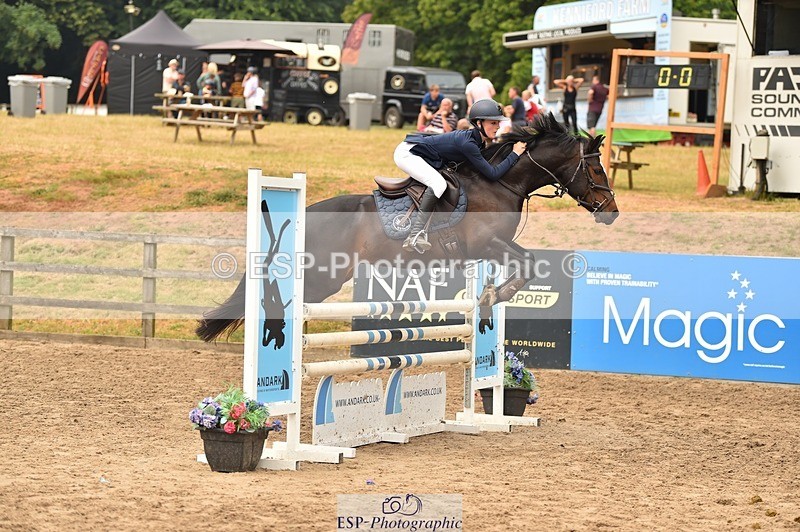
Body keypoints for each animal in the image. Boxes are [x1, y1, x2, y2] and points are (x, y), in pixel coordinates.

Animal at [197, 113, 618, 342]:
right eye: (597, 169)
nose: (612, 212)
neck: (502, 182)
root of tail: (307, 214)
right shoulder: (486, 244)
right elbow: (527, 262)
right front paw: (494, 295)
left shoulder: (493, 247)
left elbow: (525, 263)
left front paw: (490, 296)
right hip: (320, 278)